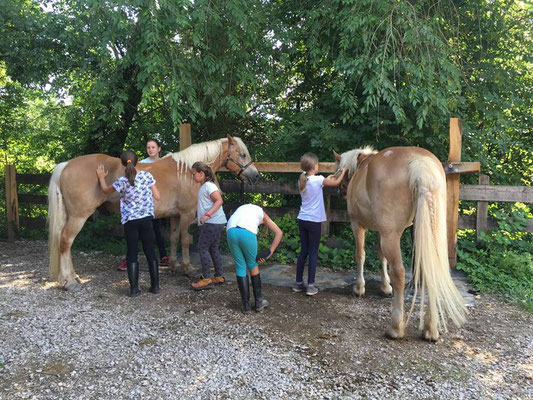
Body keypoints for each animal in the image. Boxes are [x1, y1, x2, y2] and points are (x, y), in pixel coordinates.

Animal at [47, 136, 260, 290]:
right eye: (242, 154)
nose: (256, 176)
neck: (187, 173)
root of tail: (65, 165)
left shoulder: (174, 216)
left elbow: (173, 239)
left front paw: (173, 265)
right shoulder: (185, 215)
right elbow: (185, 240)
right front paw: (188, 268)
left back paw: (72, 277)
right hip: (78, 217)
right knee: (65, 241)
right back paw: (69, 282)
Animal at [334, 147, 468, 340]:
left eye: (339, 171)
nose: (339, 192)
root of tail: (419, 162)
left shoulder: (358, 224)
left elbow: (361, 255)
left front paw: (359, 288)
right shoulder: (380, 230)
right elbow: (381, 256)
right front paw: (385, 286)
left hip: (391, 235)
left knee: (399, 272)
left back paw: (396, 328)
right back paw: (430, 329)